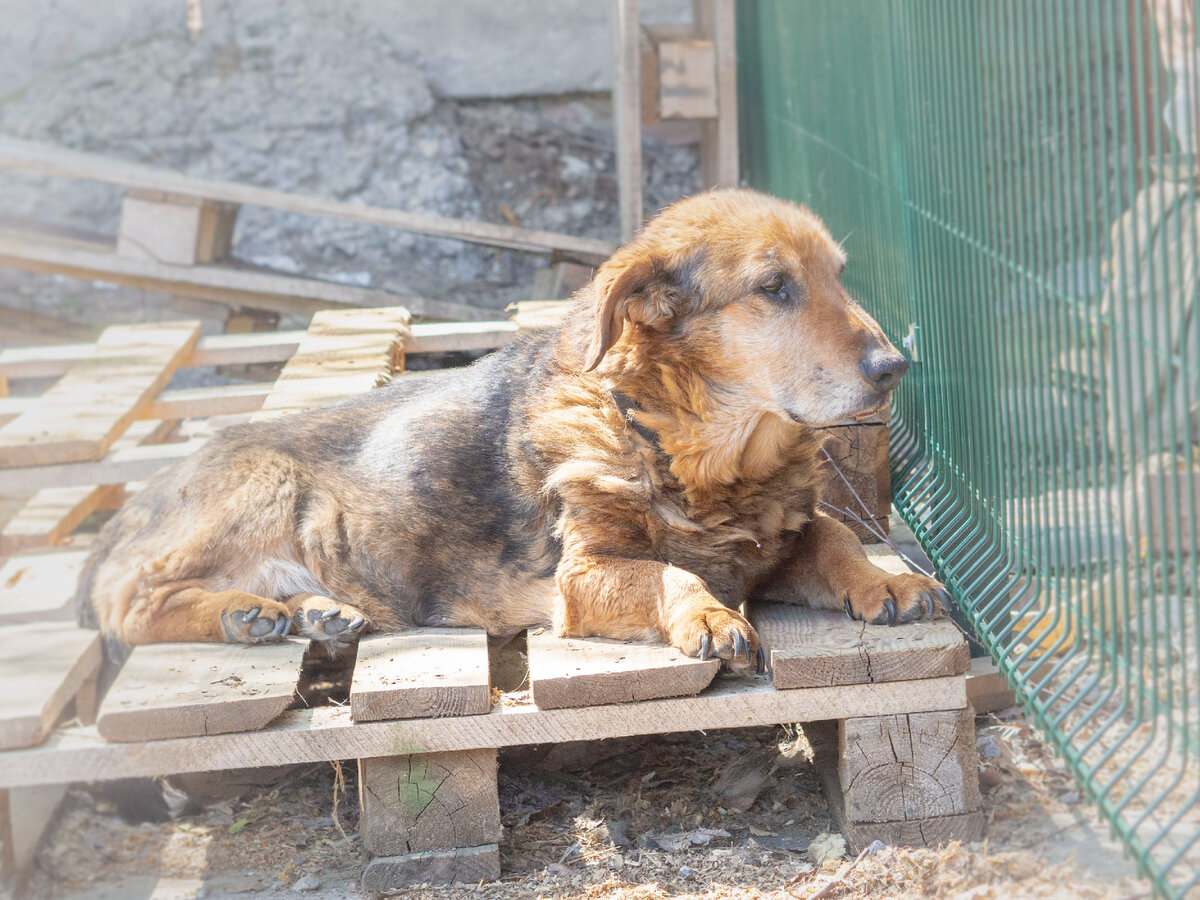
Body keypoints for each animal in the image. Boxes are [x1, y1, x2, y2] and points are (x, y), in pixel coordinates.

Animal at [79, 190, 950, 672]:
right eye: (774, 286)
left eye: (838, 276)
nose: (896, 366)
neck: (684, 449)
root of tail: (132, 504)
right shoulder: (584, 574)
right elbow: (668, 573)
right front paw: (705, 614)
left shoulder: (780, 539)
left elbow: (835, 535)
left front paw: (888, 581)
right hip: (262, 479)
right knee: (129, 603)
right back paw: (243, 614)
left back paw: (309, 614)